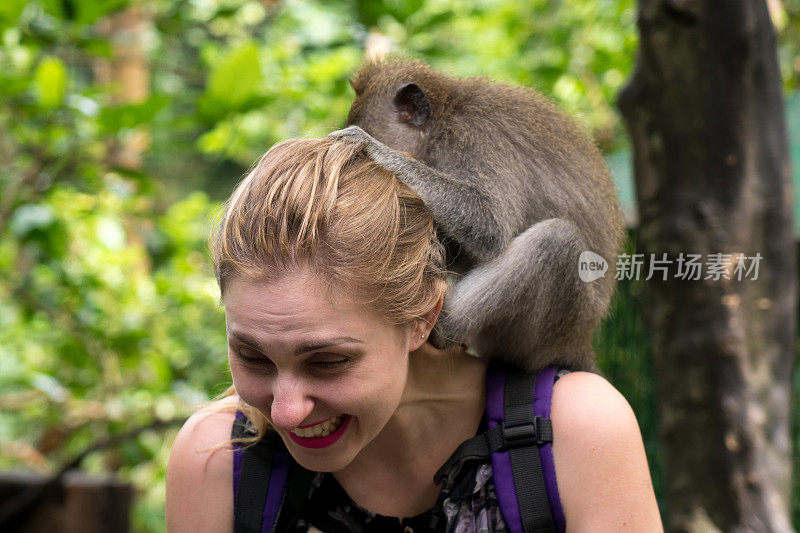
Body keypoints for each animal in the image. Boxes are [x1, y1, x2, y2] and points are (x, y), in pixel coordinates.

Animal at [328, 58, 628, 372]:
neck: (443, 121)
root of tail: (581, 343)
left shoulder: (475, 139)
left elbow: (489, 224)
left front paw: (373, 149)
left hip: (558, 328)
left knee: (556, 239)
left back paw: (443, 328)